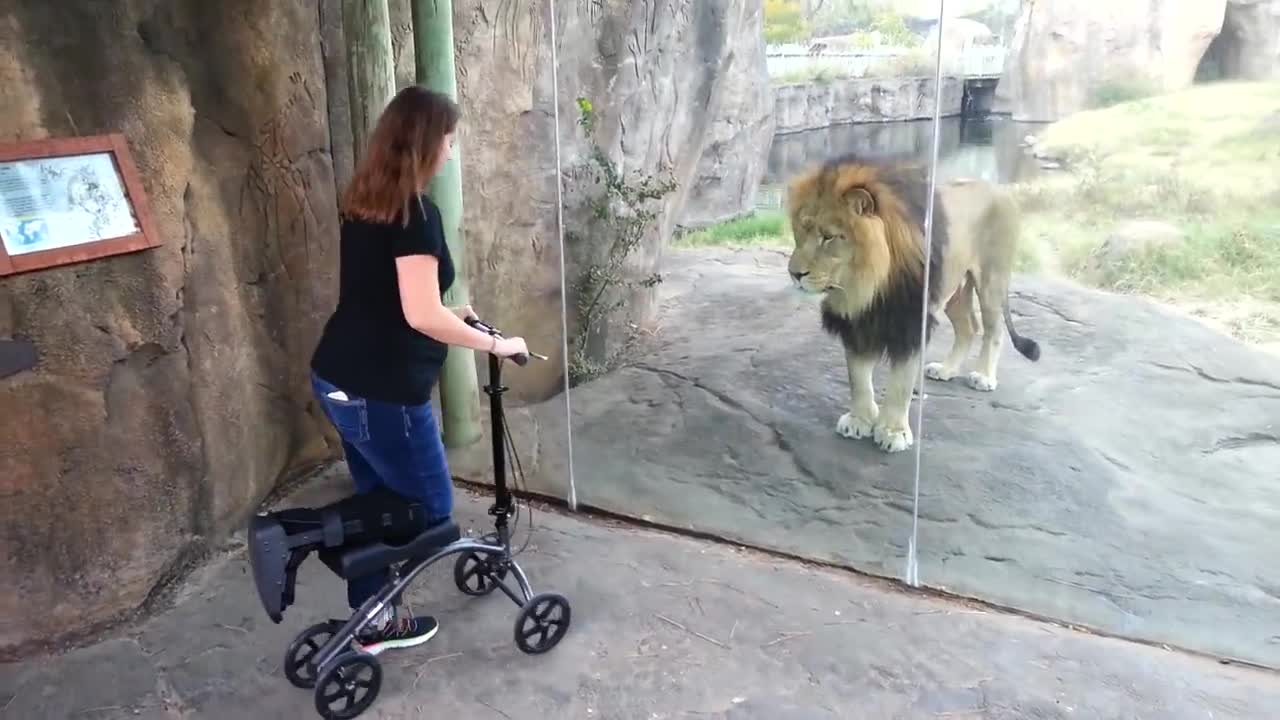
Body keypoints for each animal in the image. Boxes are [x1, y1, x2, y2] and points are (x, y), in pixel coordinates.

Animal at [784, 156, 1041, 453]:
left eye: (828, 236)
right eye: (801, 230)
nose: (794, 274)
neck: (868, 284)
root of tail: (1000, 189)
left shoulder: (910, 321)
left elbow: (901, 384)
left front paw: (893, 431)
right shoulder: (858, 324)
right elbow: (858, 378)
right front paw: (860, 419)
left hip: (991, 281)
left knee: (993, 330)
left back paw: (983, 377)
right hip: (953, 290)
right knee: (968, 328)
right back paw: (946, 370)